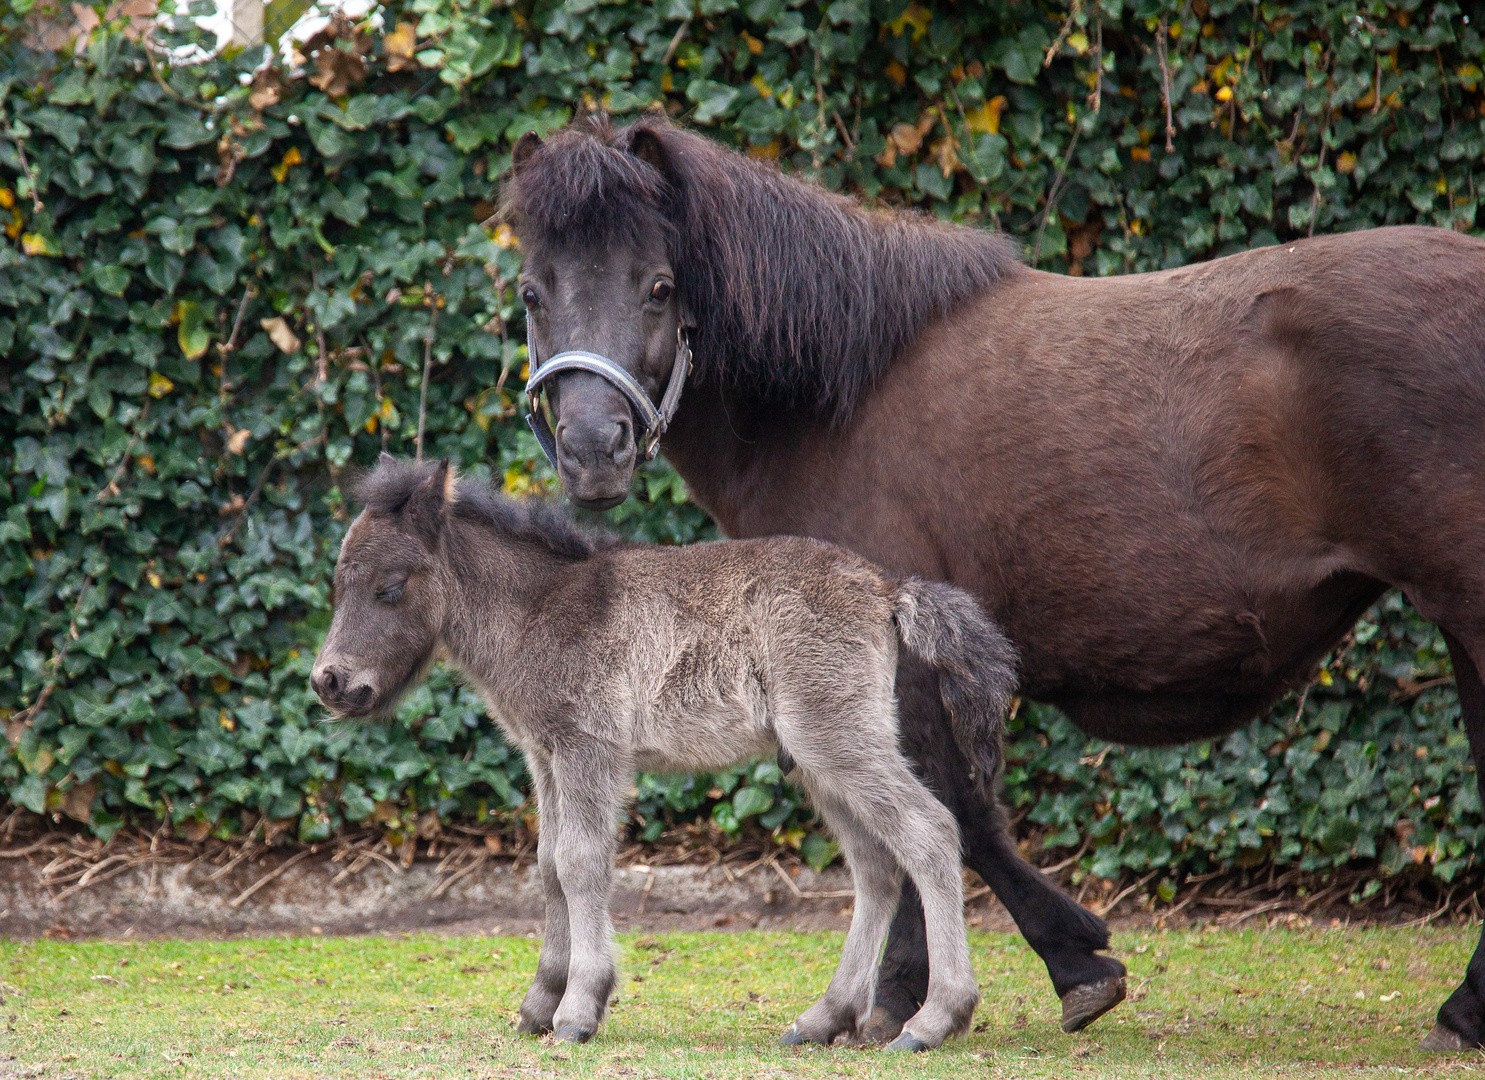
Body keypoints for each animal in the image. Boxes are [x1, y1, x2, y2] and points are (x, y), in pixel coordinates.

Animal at [307, 454, 1015, 1045]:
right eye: (339, 584)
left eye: (390, 587)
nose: (329, 681)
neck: (538, 609)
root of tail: (885, 587)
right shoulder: (545, 756)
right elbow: (547, 865)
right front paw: (539, 1003)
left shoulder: (588, 748)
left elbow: (581, 863)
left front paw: (578, 1009)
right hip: (819, 761)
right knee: (876, 866)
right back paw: (825, 1017)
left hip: (840, 741)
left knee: (930, 833)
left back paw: (935, 1018)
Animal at [501, 118, 1485, 1057]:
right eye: (532, 293)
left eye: (659, 286)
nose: (592, 450)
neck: (837, 391)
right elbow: (945, 816)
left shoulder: (894, 657)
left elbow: (944, 814)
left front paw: (935, 992)